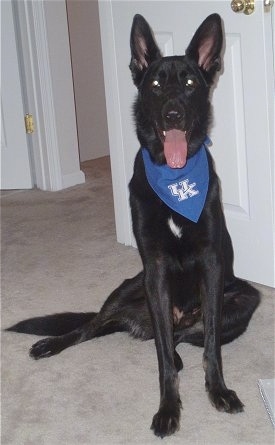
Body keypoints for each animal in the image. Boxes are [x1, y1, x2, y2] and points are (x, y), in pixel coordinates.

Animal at [7, 13, 260, 438]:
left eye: (190, 83)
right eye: (155, 84)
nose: (173, 114)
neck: (175, 181)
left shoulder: (212, 265)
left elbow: (210, 346)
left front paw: (218, 391)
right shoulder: (154, 269)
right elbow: (160, 357)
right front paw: (169, 408)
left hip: (245, 300)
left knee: (182, 337)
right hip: (128, 288)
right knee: (97, 325)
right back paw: (53, 343)